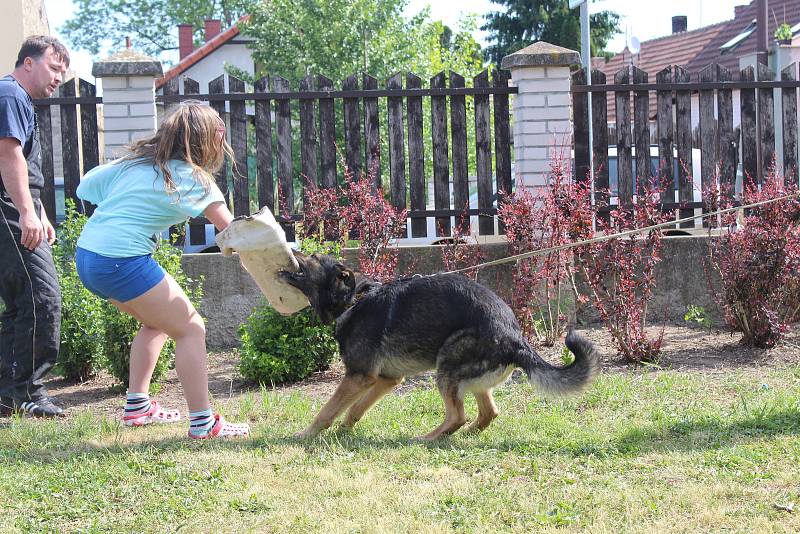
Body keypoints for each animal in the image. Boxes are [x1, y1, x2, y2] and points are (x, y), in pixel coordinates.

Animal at [282, 253, 600, 442]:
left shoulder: (358, 377)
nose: (291, 246)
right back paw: (464, 435)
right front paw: (344, 431)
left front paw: (305, 434)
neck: (354, 300)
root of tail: (516, 339)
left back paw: (426, 439)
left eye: (312, 258)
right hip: (472, 379)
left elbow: (327, 410)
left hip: (447, 364)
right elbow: (355, 408)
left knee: (457, 415)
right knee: (487, 413)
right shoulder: (386, 379)